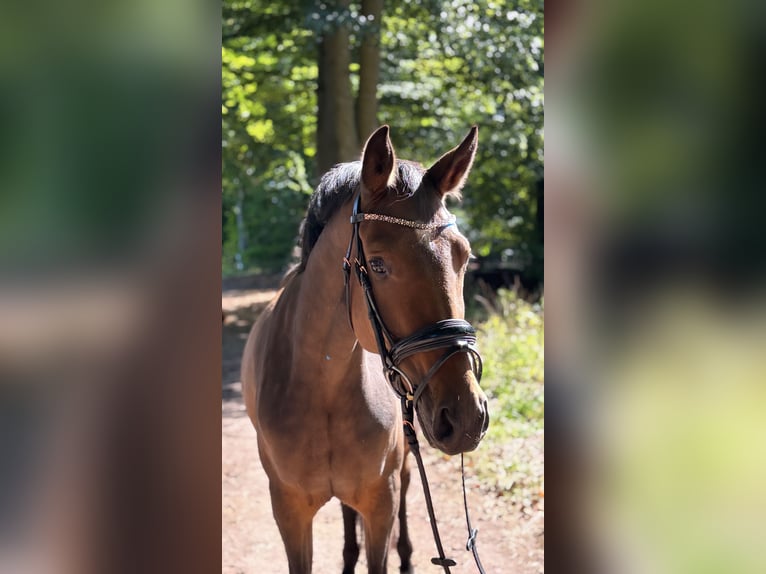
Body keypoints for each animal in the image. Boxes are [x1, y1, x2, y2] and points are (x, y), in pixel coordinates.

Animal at [241, 125, 489, 573]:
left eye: (464, 256)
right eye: (377, 264)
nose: (466, 416)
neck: (321, 387)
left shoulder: (380, 504)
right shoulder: (289, 513)